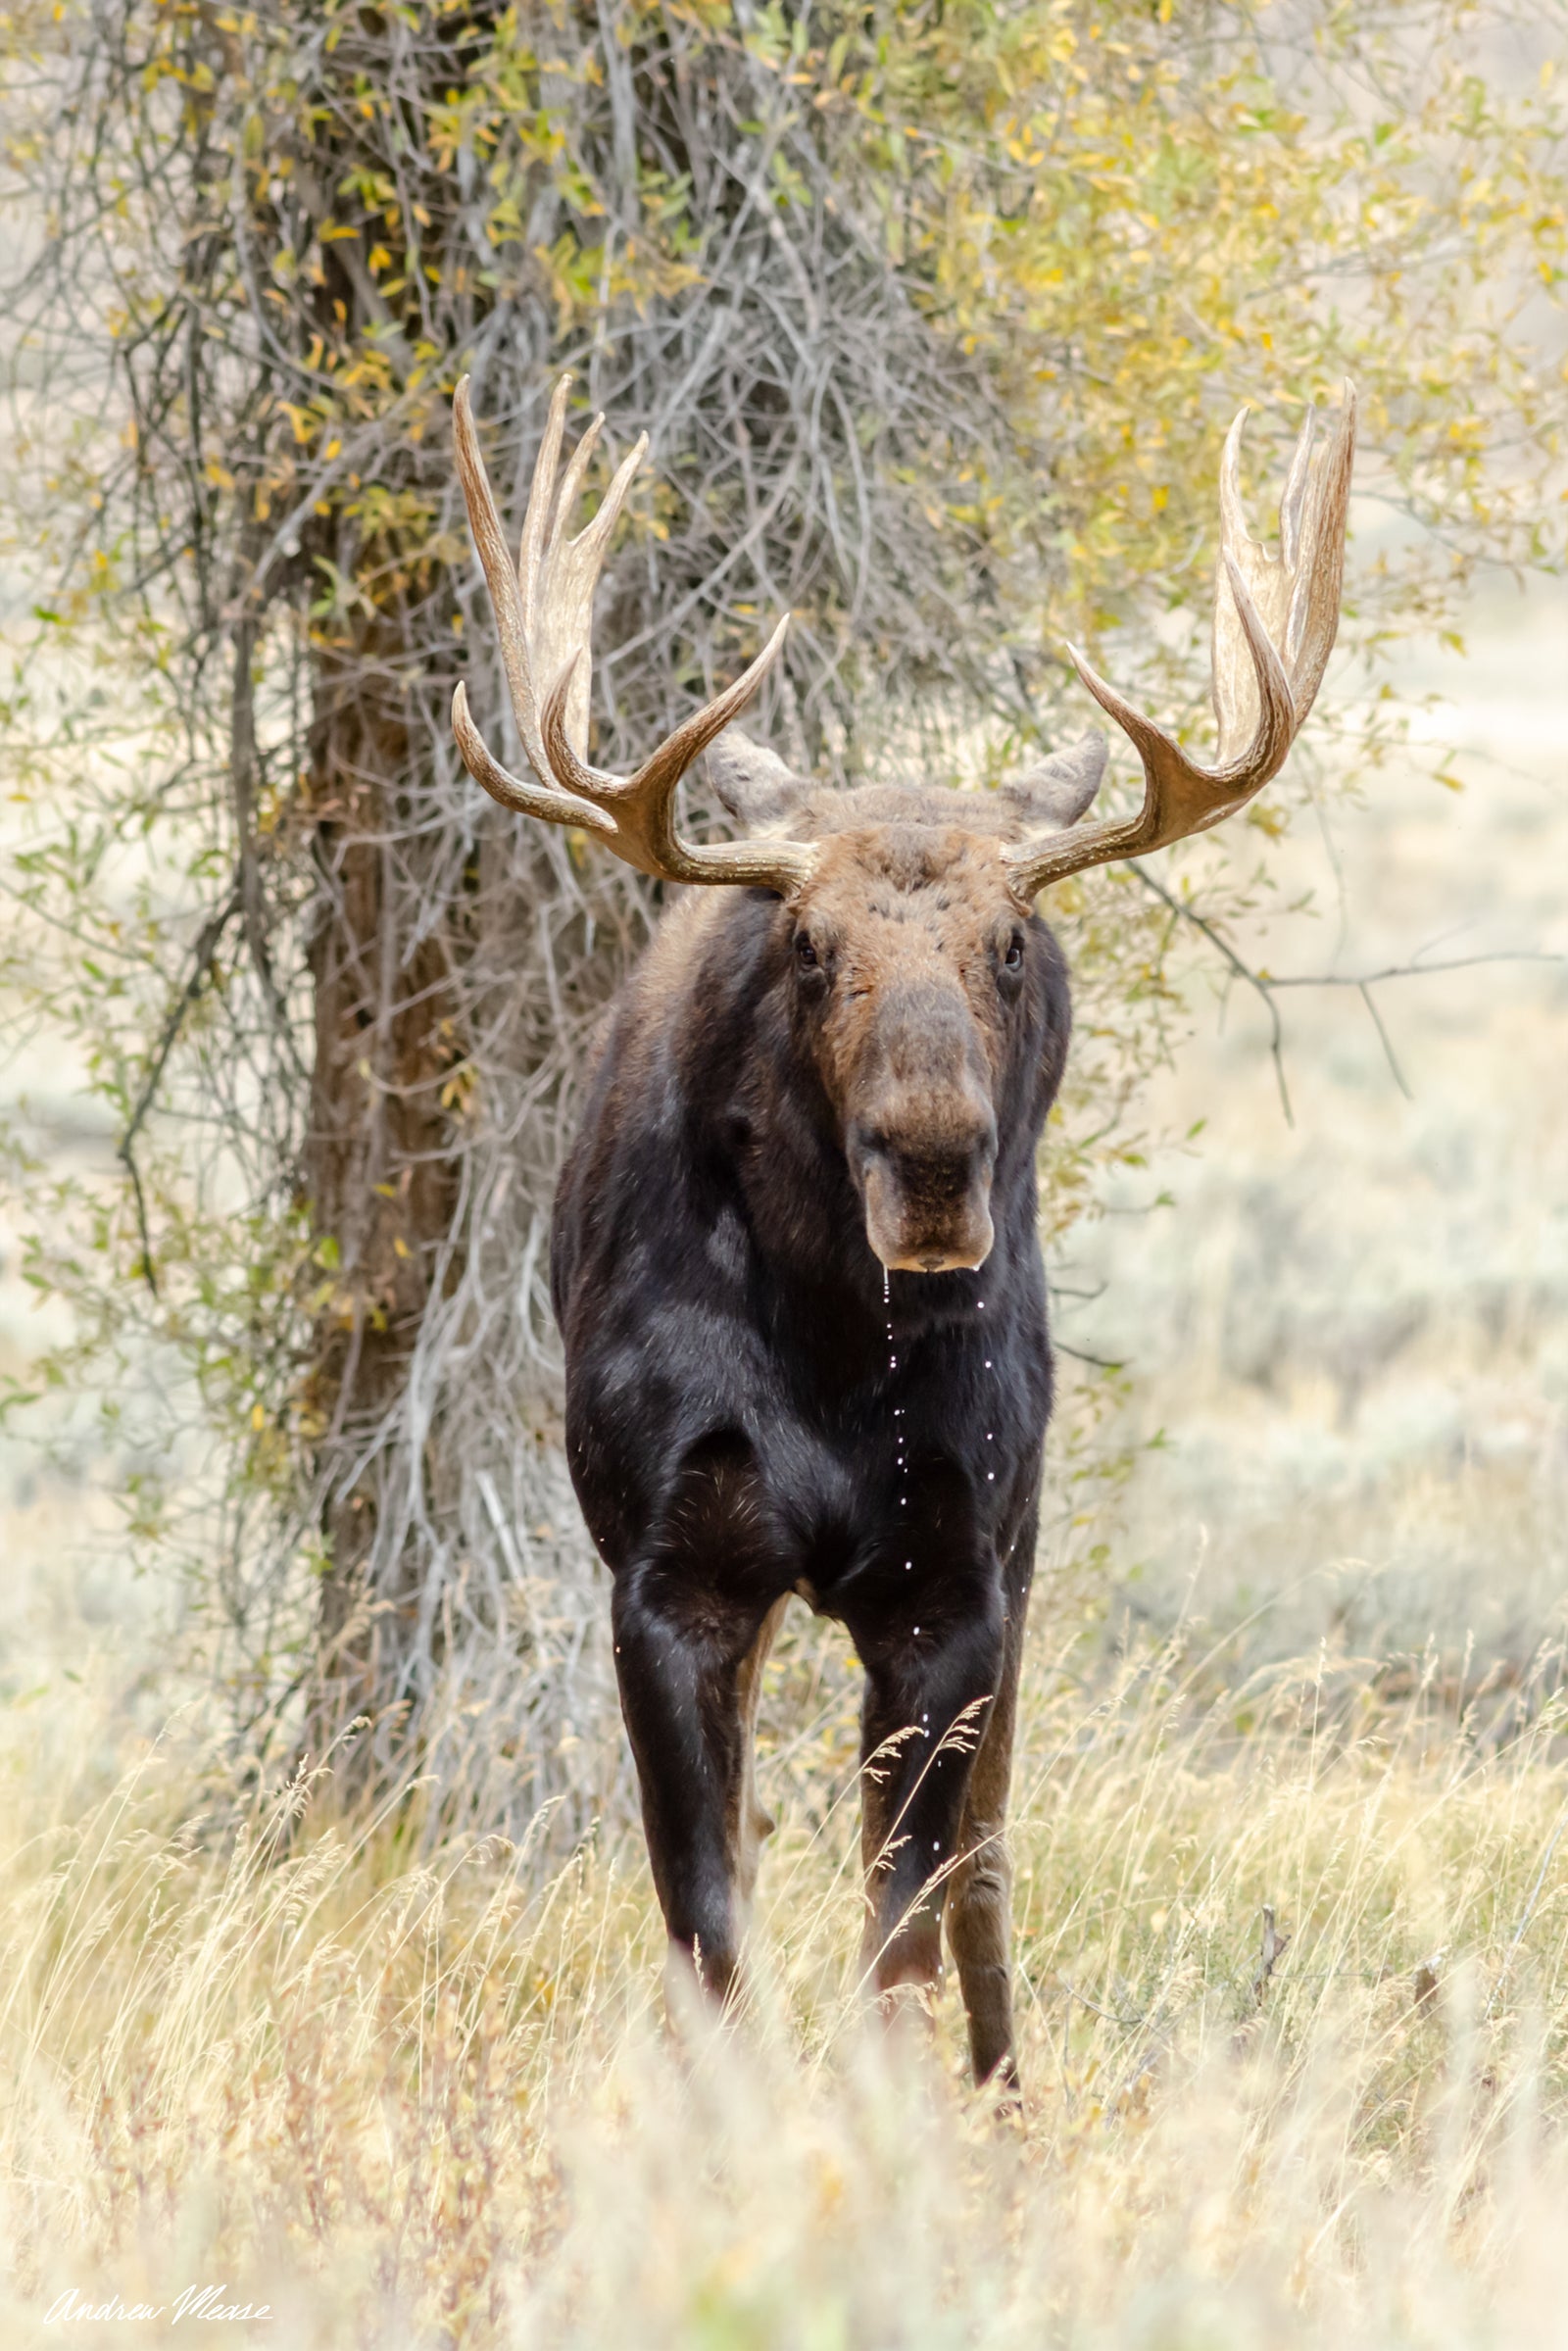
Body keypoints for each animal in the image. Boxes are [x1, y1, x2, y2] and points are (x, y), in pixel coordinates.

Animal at [451, 373, 1354, 2087]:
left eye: (1011, 939)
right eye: (807, 941)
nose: (933, 1160)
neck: (824, 1331)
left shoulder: (956, 1572)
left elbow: (907, 1937)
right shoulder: (668, 1564)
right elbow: (711, 1927)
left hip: (1030, 1532)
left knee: (992, 1857)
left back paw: (1012, 2090)